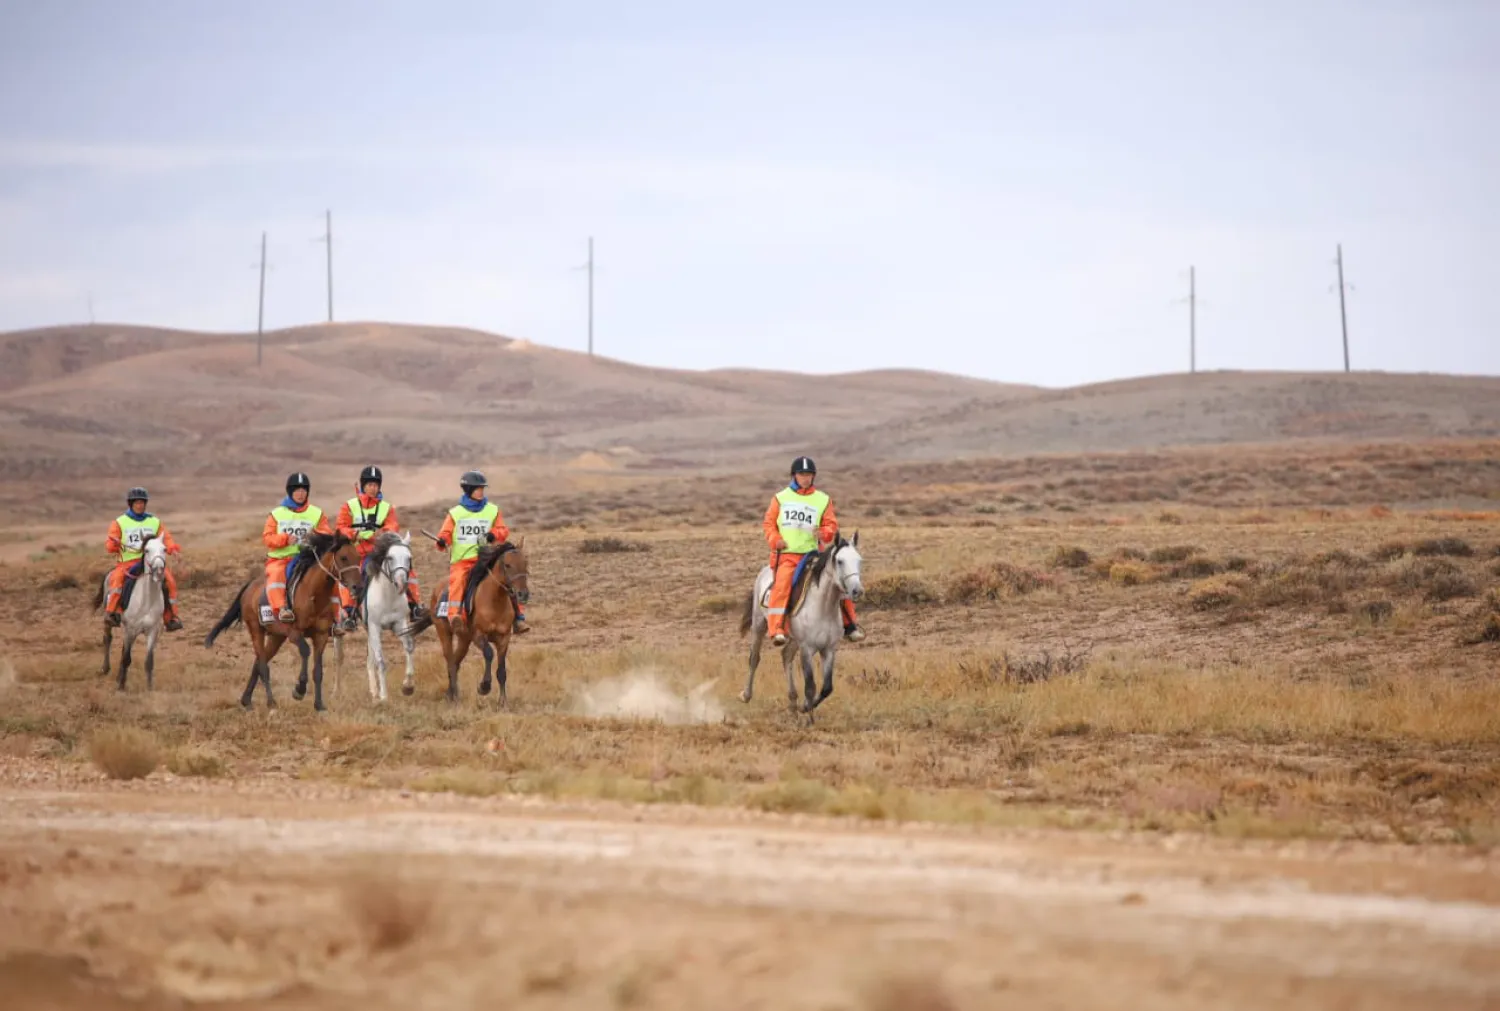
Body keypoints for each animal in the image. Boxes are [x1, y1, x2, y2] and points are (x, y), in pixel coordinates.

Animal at [90, 531, 168, 690]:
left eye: (164, 549)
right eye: (147, 550)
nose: (158, 570)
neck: (147, 600)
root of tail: (111, 572)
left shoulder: (152, 631)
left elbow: (149, 661)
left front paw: (149, 688)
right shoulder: (130, 629)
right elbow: (126, 658)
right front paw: (121, 686)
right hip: (110, 620)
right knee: (108, 639)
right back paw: (105, 669)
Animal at [202, 528, 363, 708]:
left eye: (358, 557)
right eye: (343, 557)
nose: (358, 586)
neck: (313, 595)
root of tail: (250, 586)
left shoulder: (321, 635)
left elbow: (318, 671)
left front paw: (319, 705)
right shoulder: (293, 633)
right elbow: (305, 651)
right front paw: (299, 689)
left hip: (276, 637)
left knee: (258, 662)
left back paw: (246, 700)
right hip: (256, 630)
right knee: (263, 665)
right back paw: (270, 702)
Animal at [357, 528, 435, 702]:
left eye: (409, 558)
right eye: (390, 557)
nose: (401, 583)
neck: (388, 597)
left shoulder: (399, 624)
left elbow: (409, 646)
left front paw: (408, 686)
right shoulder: (375, 626)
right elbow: (381, 661)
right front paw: (384, 696)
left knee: (369, 659)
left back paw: (374, 691)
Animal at [432, 534, 531, 702]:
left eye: (525, 563)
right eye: (507, 565)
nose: (523, 594)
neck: (494, 602)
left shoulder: (504, 638)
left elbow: (502, 671)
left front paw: (502, 701)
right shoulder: (478, 635)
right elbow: (489, 653)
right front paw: (484, 686)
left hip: (464, 639)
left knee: (456, 662)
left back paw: (452, 693)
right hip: (444, 632)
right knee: (450, 660)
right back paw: (453, 695)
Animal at [738, 531, 870, 720]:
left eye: (859, 560)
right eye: (840, 561)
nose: (857, 591)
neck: (823, 607)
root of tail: (765, 570)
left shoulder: (828, 649)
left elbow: (826, 688)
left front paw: (805, 707)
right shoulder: (807, 649)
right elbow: (810, 686)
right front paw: (808, 716)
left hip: (794, 640)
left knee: (786, 656)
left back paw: (793, 702)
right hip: (759, 625)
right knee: (754, 658)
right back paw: (746, 695)